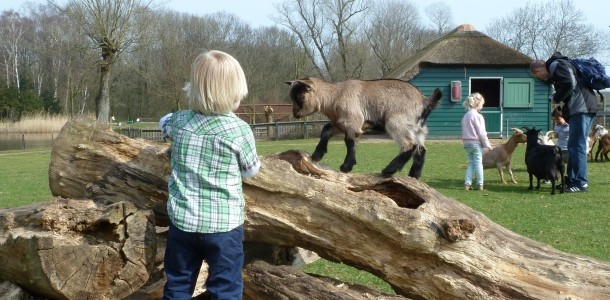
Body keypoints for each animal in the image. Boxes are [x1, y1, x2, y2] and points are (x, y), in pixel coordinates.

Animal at [286, 76, 442, 177]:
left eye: (300, 96)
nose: (295, 113)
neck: (335, 96)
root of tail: (425, 102)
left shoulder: (352, 122)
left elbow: (349, 142)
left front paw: (346, 167)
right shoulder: (340, 123)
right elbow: (326, 130)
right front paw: (317, 155)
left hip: (397, 122)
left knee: (410, 145)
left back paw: (388, 170)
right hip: (418, 129)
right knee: (421, 149)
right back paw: (413, 176)